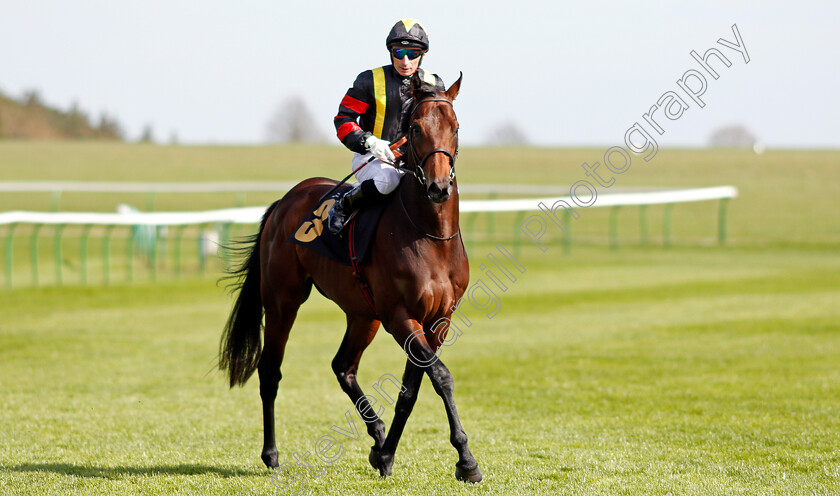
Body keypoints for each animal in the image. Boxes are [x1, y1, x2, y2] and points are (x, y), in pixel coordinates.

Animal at [218, 71, 480, 482]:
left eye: (455, 127)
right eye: (416, 128)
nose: (439, 187)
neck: (429, 234)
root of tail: (286, 200)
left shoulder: (439, 318)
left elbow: (411, 389)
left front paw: (386, 455)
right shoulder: (399, 316)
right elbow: (441, 377)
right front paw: (466, 460)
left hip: (361, 314)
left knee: (343, 366)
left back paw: (376, 435)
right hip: (283, 302)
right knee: (270, 371)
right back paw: (271, 454)